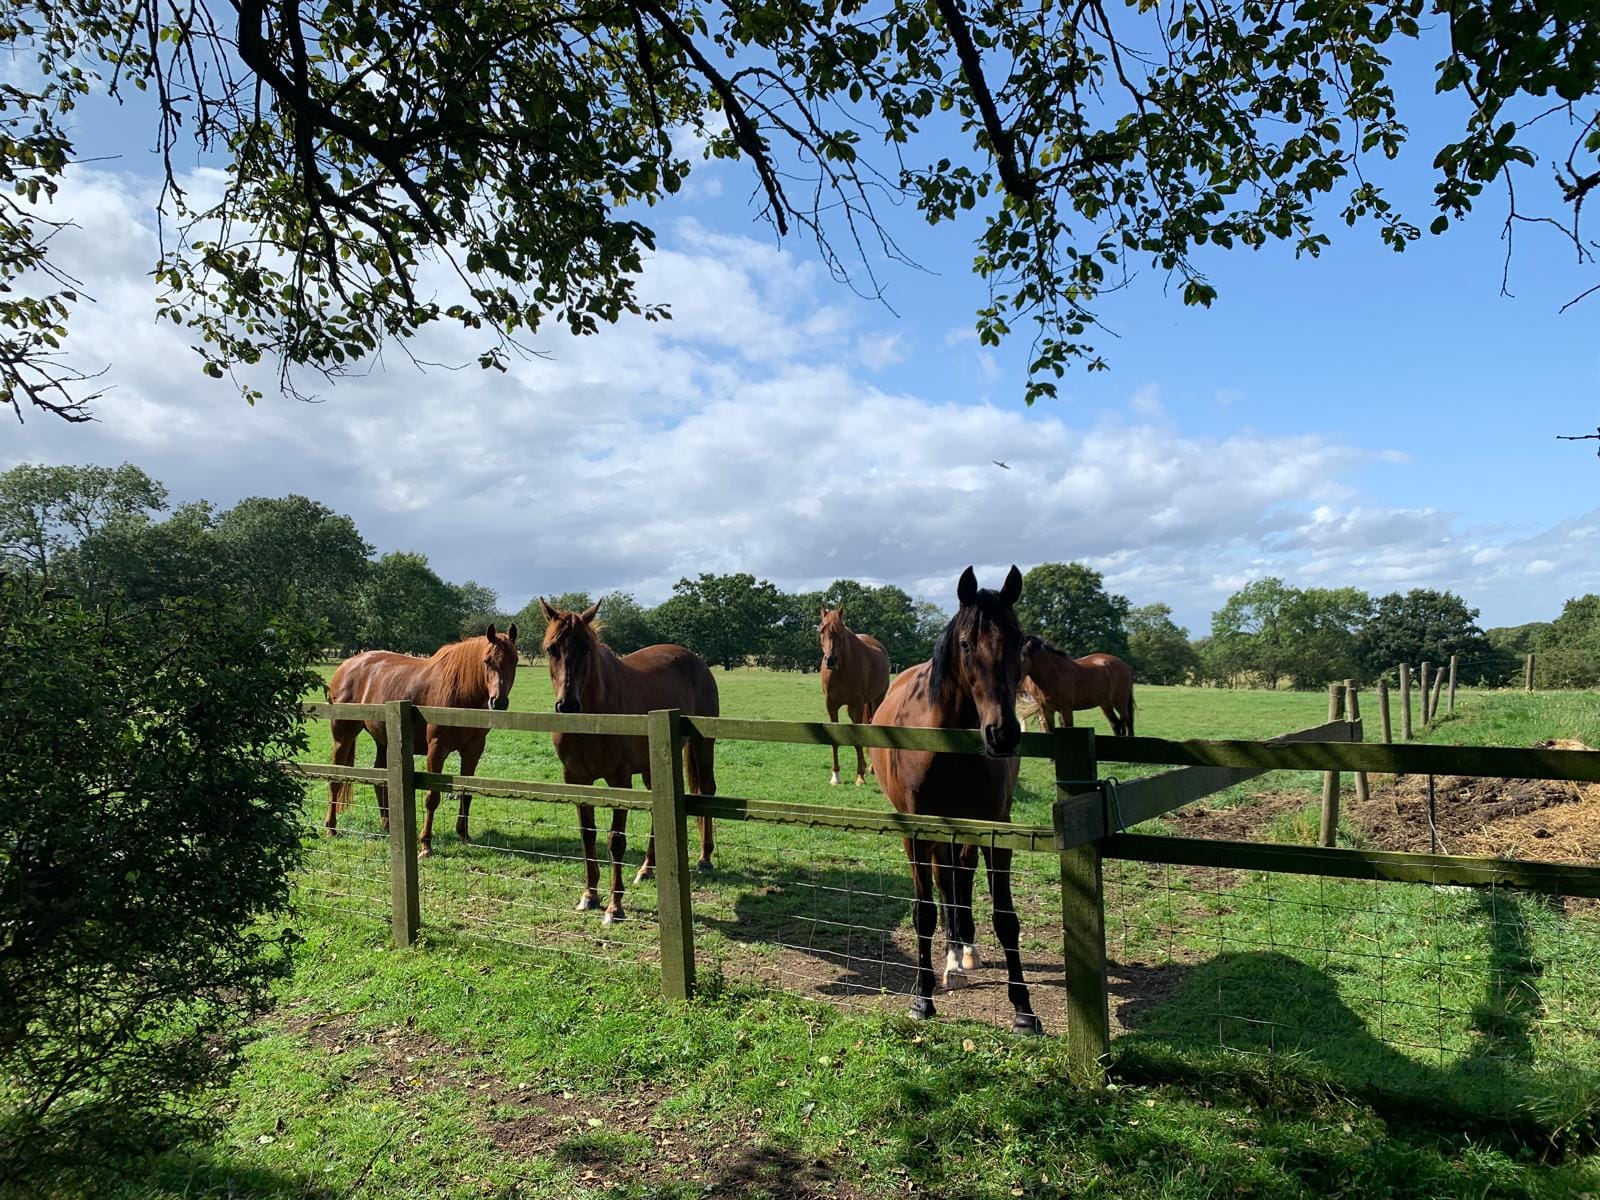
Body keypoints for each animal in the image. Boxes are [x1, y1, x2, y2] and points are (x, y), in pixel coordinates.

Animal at [325, 624, 520, 855]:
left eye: (515, 660)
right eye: (487, 661)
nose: (498, 702)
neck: (461, 692)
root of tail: (346, 666)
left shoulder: (473, 750)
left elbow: (467, 793)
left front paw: (464, 834)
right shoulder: (437, 748)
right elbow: (432, 797)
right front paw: (426, 844)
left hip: (384, 741)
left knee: (380, 779)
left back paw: (388, 826)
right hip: (342, 736)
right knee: (335, 781)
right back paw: (331, 828)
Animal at [539, 597, 719, 924]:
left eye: (586, 648)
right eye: (551, 648)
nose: (567, 704)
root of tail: (695, 660)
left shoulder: (618, 779)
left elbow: (616, 840)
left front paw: (615, 906)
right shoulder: (576, 778)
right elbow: (588, 835)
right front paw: (589, 896)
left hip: (703, 745)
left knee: (707, 791)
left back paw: (704, 858)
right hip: (651, 767)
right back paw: (647, 868)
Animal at [819, 606, 891, 786]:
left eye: (841, 632)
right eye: (821, 630)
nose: (830, 660)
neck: (841, 670)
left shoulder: (858, 704)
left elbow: (859, 738)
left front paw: (860, 777)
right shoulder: (831, 706)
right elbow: (836, 739)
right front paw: (835, 776)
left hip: (876, 700)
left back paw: (870, 768)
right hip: (852, 709)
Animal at [869, 565, 1042, 1034]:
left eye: (1018, 640)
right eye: (966, 644)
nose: (1003, 734)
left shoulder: (995, 827)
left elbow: (1006, 917)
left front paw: (1023, 1010)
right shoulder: (917, 830)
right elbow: (924, 912)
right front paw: (922, 998)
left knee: (959, 876)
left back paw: (964, 951)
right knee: (947, 880)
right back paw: (950, 959)